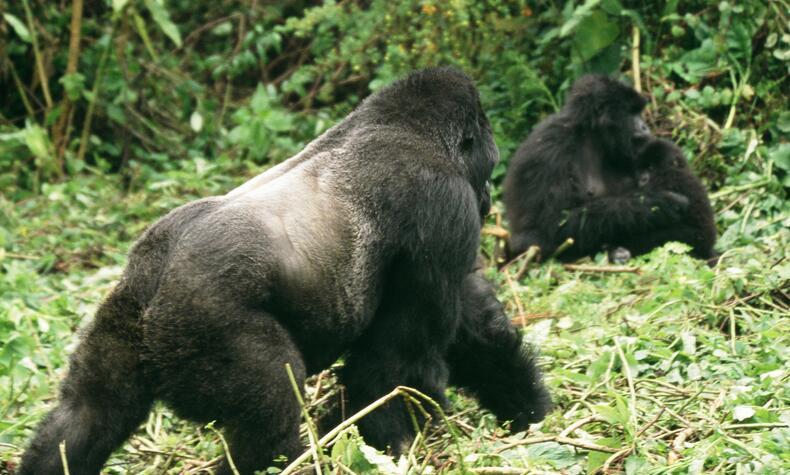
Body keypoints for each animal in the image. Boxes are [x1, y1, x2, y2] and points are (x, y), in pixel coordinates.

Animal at [18, 68, 552, 475]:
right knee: (272, 413)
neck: (405, 126)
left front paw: (529, 411)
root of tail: (153, 282)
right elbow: (400, 362)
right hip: (206, 327)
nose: (488, 200)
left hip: (119, 317)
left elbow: (474, 332)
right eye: (490, 163)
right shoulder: (442, 204)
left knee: (85, 414)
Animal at [508, 76, 716, 266]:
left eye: (638, 112)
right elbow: (546, 227)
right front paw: (657, 204)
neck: (591, 137)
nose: (645, 126)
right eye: (632, 113)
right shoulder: (548, 148)